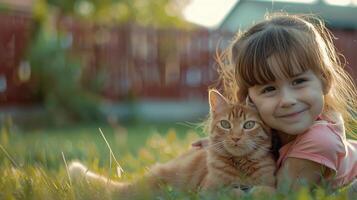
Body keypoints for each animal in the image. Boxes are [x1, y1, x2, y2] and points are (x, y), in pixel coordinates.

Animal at [69, 90, 276, 198]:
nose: (235, 137)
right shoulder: (206, 191)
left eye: (248, 125)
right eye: (225, 124)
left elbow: (266, 190)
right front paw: (239, 192)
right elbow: (230, 192)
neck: (241, 165)